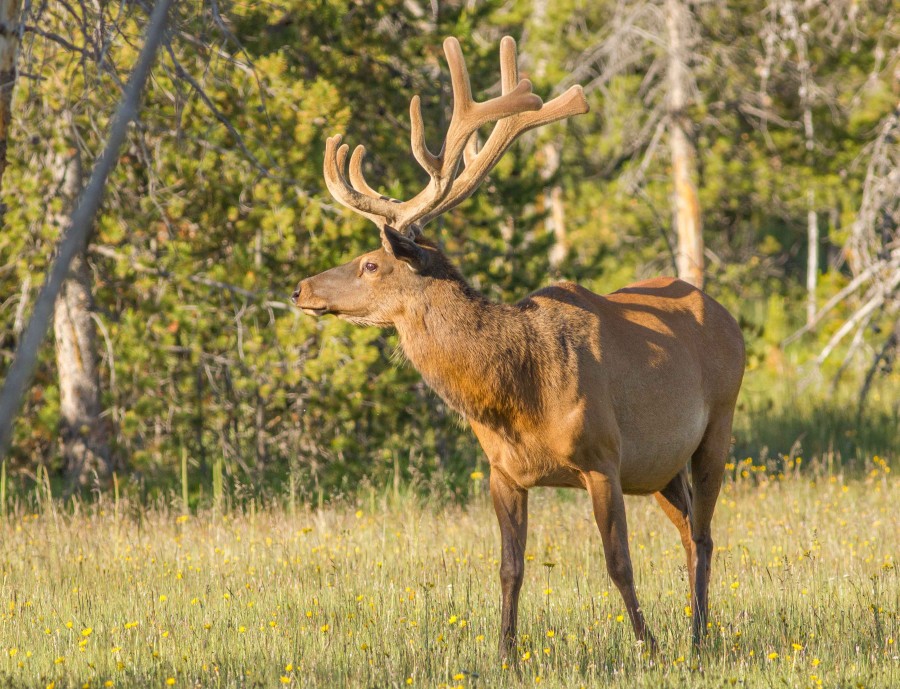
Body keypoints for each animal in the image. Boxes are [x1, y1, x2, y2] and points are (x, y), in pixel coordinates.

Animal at [292, 36, 740, 656]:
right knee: (690, 533)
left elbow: (618, 563)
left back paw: (697, 637)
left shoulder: (603, 456)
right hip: (662, 467)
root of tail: (727, 316)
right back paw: (695, 629)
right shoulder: (502, 471)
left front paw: (647, 646)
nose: (301, 288)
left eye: (371, 264)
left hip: (717, 426)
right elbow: (510, 567)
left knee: (705, 536)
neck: (516, 394)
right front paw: (505, 653)